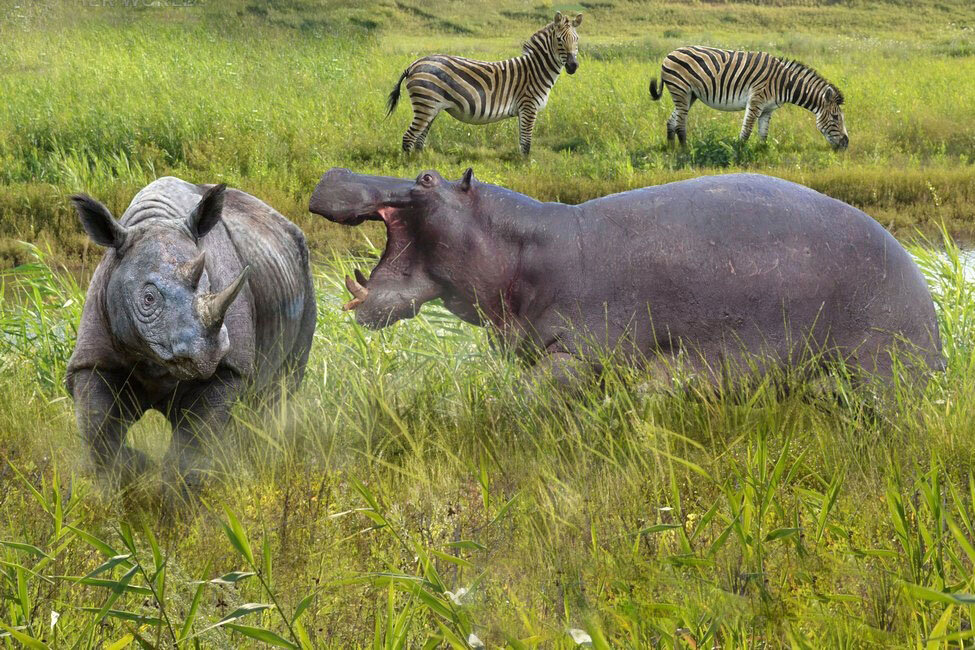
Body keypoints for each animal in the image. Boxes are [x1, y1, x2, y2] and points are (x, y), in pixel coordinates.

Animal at [386, 13, 584, 156]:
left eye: (577, 39)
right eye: (559, 40)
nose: (573, 66)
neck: (535, 70)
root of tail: (413, 64)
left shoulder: (524, 110)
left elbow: (522, 142)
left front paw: (521, 163)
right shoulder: (529, 106)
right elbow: (527, 143)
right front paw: (527, 167)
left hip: (430, 106)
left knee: (419, 139)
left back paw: (420, 162)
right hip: (425, 103)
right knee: (409, 137)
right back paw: (409, 166)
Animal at [652, 46, 852, 151]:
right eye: (836, 117)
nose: (846, 144)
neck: (784, 83)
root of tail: (670, 53)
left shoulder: (768, 109)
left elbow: (763, 134)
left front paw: (761, 155)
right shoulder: (756, 100)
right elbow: (747, 130)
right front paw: (738, 153)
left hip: (689, 95)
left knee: (671, 121)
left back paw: (671, 149)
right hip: (681, 90)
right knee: (680, 123)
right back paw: (685, 150)